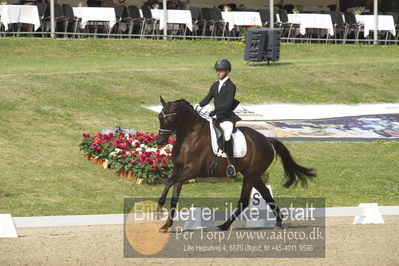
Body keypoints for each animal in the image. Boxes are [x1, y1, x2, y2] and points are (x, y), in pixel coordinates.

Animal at [155, 97, 318, 231]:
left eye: (170, 118)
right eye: (159, 117)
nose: (160, 141)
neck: (189, 135)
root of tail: (266, 139)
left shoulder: (191, 170)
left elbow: (168, 182)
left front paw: (159, 208)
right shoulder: (180, 171)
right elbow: (174, 196)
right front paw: (167, 224)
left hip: (251, 174)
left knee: (244, 201)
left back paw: (224, 225)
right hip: (252, 174)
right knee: (265, 193)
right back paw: (278, 221)